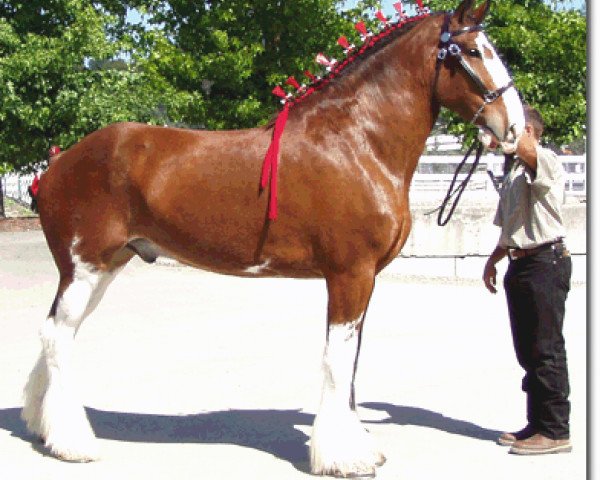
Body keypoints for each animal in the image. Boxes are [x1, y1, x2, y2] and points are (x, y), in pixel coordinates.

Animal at [21, 1, 524, 476]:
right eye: (472, 51)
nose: (516, 128)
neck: (357, 142)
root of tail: (58, 163)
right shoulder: (349, 274)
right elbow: (338, 360)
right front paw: (342, 457)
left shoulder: (364, 280)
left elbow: (353, 361)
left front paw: (359, 446)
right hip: (85, 267)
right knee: (57, 336)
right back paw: (73, 444)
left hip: (105, 267)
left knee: (56, 333)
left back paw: (44, 427)